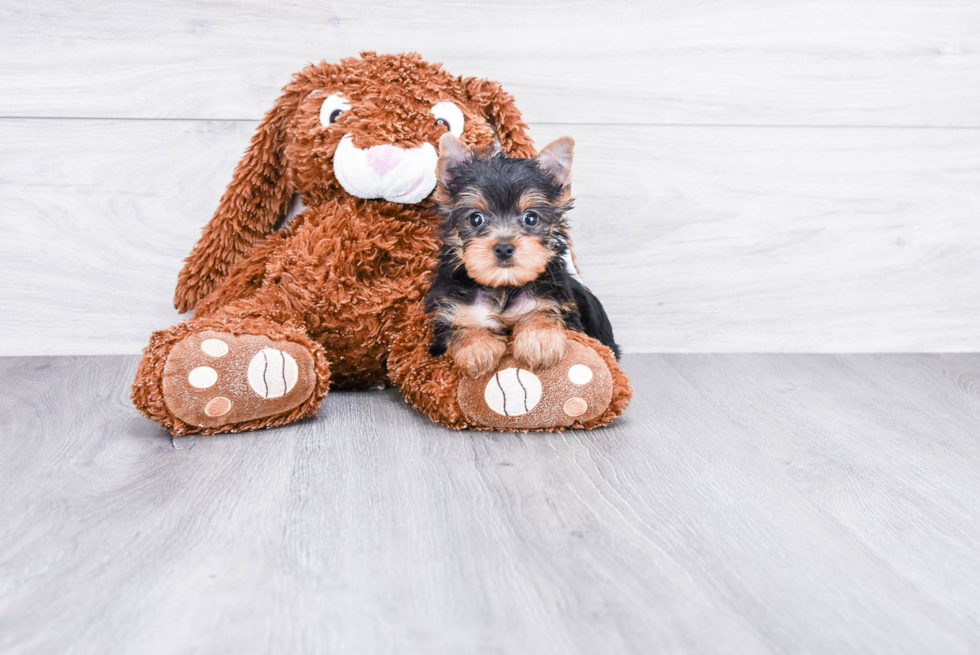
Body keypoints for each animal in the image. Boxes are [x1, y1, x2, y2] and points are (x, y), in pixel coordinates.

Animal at [424, 133, 620, 380]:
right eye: (476, 219)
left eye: (531, 218)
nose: (504, 248)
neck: (503, 287)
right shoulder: (448, 312)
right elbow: (460, 328)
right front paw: (476, 348)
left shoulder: (557, 302)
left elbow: (542, 312)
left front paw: (540, 341)